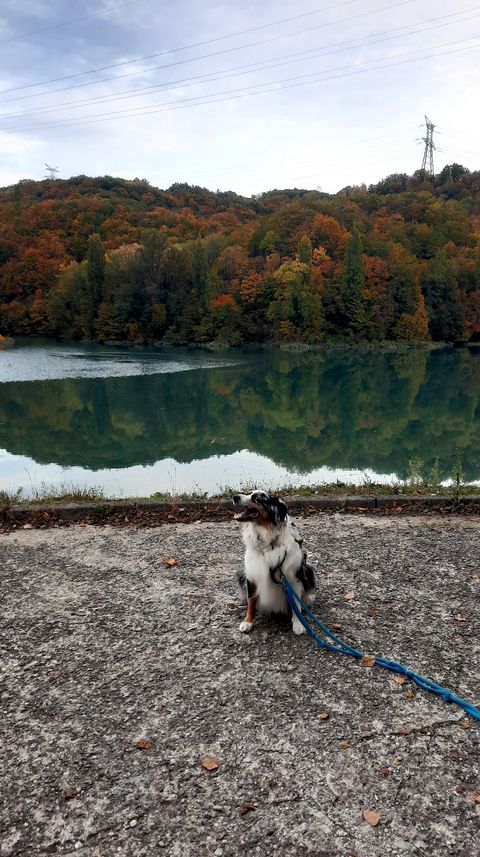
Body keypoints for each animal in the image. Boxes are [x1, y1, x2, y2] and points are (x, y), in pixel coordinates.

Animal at [232, 488, 316, 636]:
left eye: (258, 498)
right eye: (247, 493)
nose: (235, 497)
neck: (268, 542)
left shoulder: (295, 577)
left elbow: (296, 603)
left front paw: (298, 624)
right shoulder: (252, 574)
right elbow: (251, 601)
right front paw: (248, 622)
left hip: (309, 571)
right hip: (241, 574)